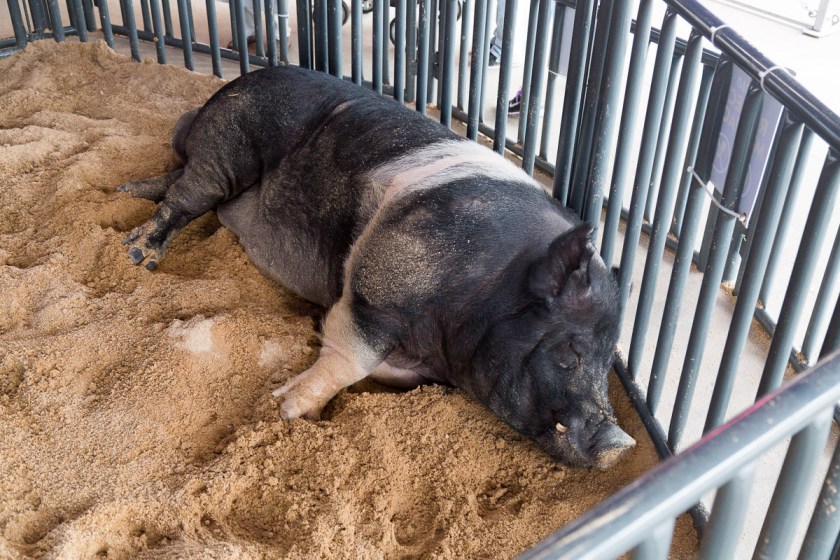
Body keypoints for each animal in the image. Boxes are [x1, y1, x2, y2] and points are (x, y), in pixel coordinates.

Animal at [118, 65, 634, 469]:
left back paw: (125, 191)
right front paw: (286, 410)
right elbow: (351, 357)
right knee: (185, 196)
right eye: (571, 352)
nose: (622, 445)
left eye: (610, 358)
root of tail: (236, 81)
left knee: (175, 182)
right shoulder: (376, 286)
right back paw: (137, 255)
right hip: (228, 142)